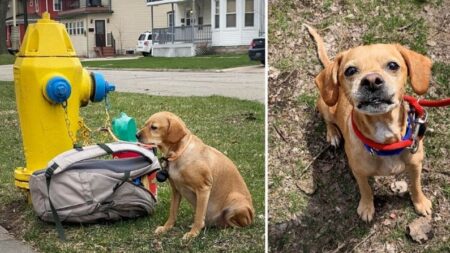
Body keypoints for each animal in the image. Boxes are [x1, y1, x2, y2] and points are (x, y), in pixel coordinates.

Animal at [306, 24, 432, 220]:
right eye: (350, 70)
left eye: (393, 65)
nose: (372, 81)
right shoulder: (359, 172)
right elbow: (365, 189)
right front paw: (366, 207)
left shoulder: (416, 165)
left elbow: (416, 185)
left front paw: (420, 202)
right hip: (325, 105)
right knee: (328, 121)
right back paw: (333, 134)